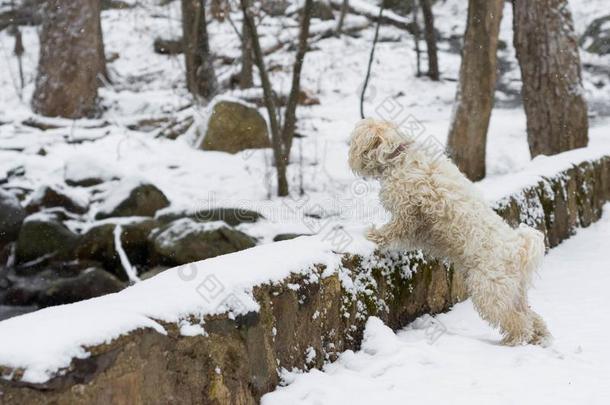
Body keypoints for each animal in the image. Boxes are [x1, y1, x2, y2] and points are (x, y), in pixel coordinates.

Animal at [346, 118, 552, 346]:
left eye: (354, 140)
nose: (349, 154)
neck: (397, 156)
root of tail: (517, 250)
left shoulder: (408, 213)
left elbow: (393, 229)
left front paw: (373, 235)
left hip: (490, 291)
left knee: (517, 320)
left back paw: (515, 341)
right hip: (513, 292)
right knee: (531, 316)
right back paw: (540, 338)